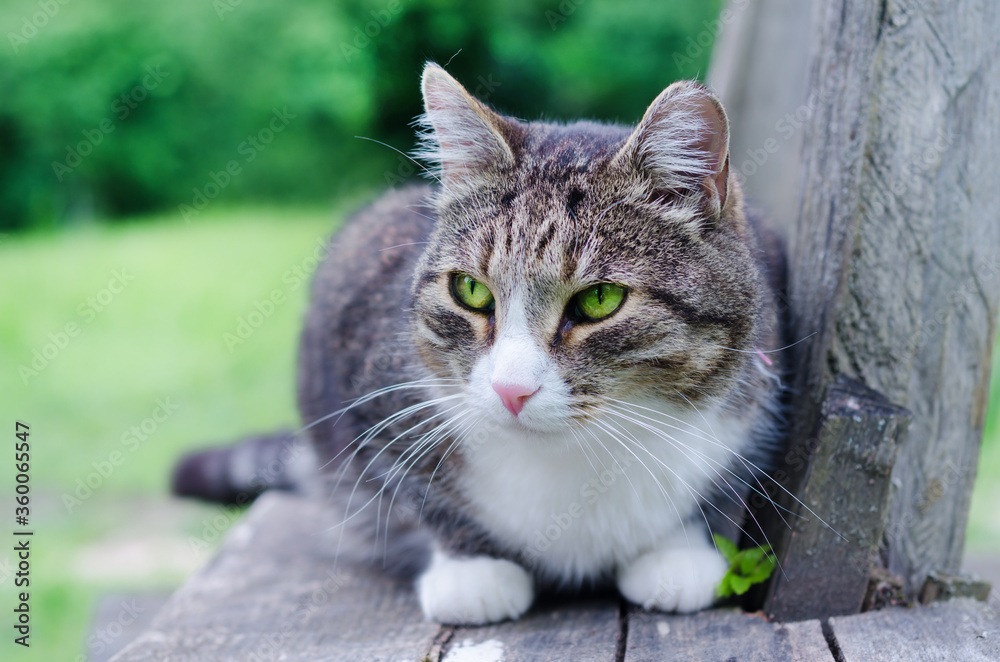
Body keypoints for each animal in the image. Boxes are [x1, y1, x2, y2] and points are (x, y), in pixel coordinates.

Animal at [172, 62, 784, 628]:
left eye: (599, 299)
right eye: (470, 290)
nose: (511, 390)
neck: (569, 458)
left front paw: (678, 552)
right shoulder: (363, 378)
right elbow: (413, 489)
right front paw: (472, 571)